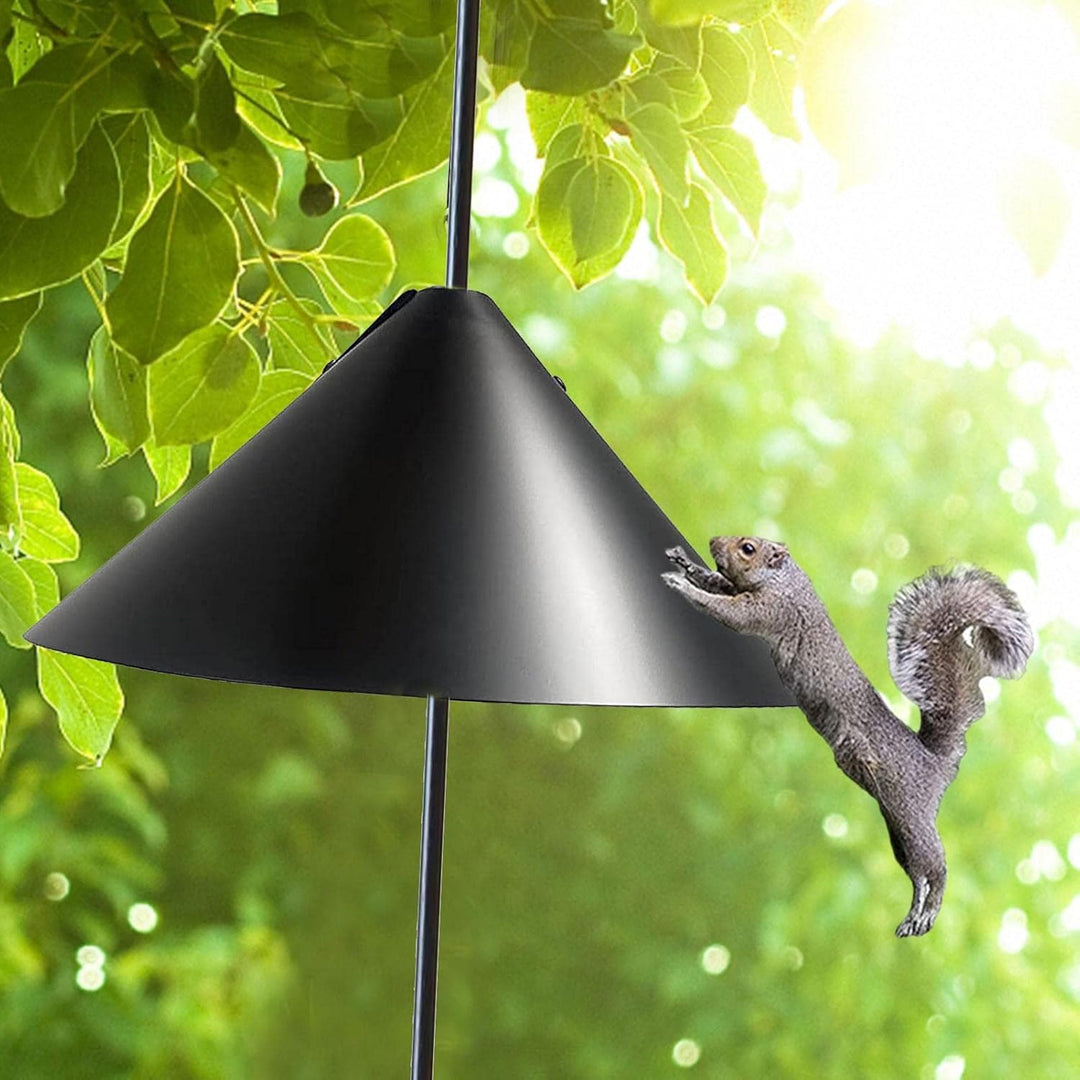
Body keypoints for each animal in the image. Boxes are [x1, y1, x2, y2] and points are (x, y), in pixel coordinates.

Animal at [662, 536, 1034, 937]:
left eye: (748, 547)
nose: (714, 541)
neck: (786, 580)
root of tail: (936, 762)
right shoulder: (745, 591)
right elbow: (718, 584)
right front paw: (685, 564)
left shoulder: (773, 609)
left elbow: (726, 610)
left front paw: (682, 585)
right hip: (897, 826)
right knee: (917, 873)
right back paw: (913, 915)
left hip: (912, 815)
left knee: (937, 866)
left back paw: (929, 911)